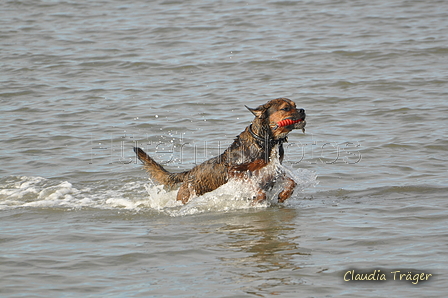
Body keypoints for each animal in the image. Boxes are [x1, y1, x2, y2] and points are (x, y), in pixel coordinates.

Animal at [135, 98, 306, 205]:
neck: (266, 141)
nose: (303, 110)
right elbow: (256, 188)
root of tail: (188, 174)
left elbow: (292, 182)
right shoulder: (236, 171)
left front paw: (284, 195)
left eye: (296, 105)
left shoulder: (272, 171)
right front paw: (258, 199)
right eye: (286, 108)